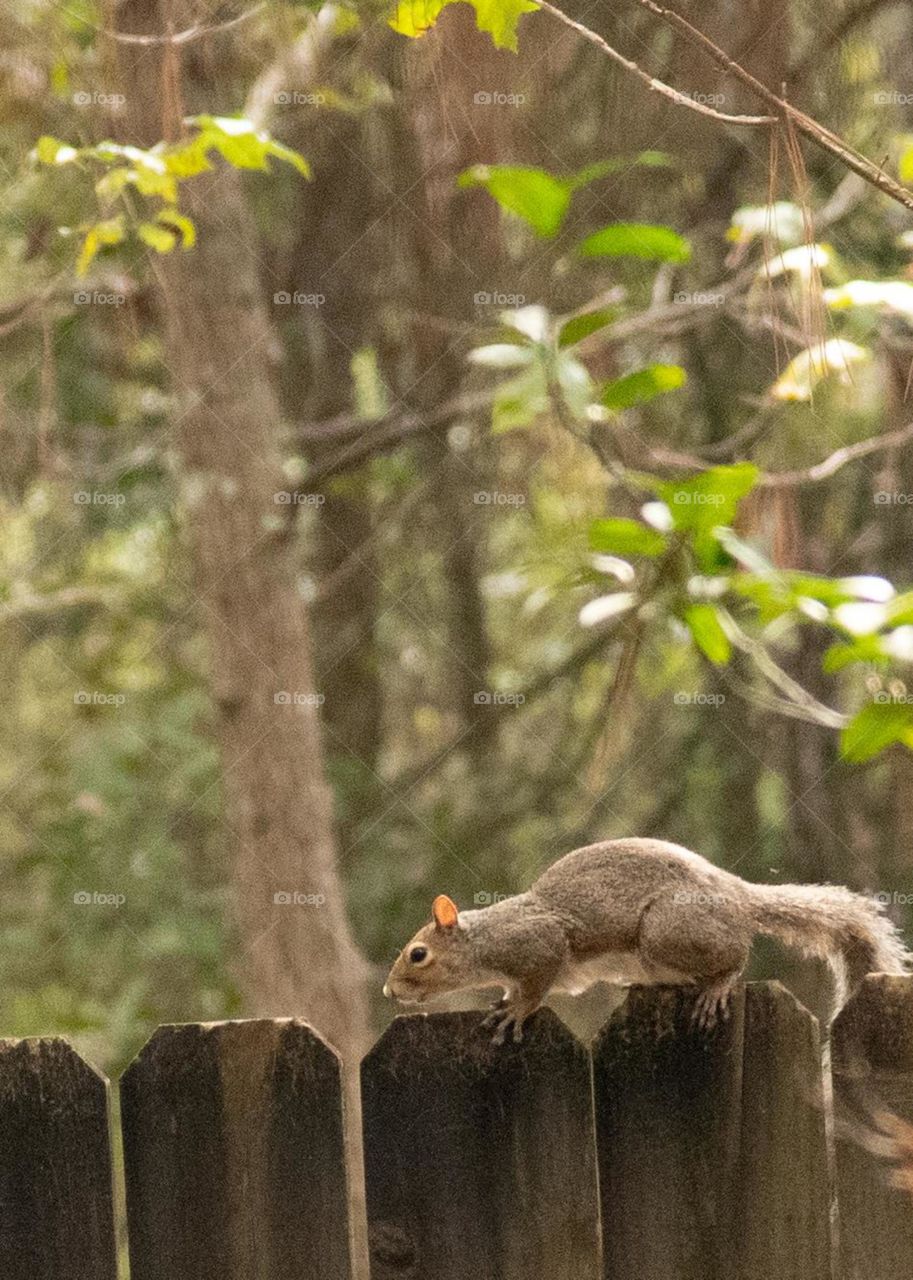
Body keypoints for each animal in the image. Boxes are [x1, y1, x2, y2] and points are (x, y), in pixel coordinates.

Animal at [383, 837, 912, 1043]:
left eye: (418, 954)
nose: (389, 991)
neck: (485, 942)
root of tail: (737, 894)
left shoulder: (539, 942)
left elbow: (537, 985)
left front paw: (515, 1011)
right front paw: (507, 1000)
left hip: (667, 931)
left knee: (736, 955)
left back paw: (718, 985)